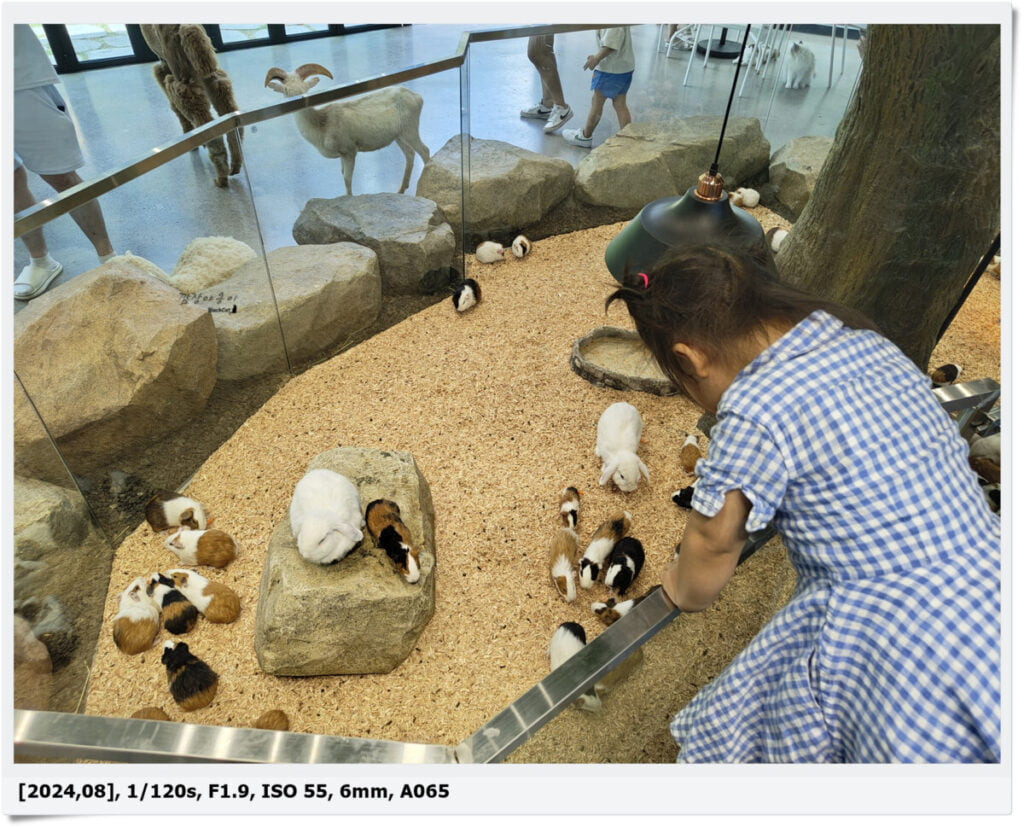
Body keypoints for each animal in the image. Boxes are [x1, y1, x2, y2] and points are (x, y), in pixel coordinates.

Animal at [140, 24, 243, 188]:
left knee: (207, 125)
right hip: (211, 77)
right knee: (230, 116)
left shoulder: (163, 65)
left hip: (183, 79)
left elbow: (175, 108)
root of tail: (188, 27)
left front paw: (189, 136)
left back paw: (221, 177)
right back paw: (235, 166)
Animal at [264, 64, 430, 197]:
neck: (321, 125)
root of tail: (417, 97)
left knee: (424, 151)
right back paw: (400, 190)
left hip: (410, 130)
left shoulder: (349, 151)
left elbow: (347, 179)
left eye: (305, 89)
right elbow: (343, 174)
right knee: (410, 154)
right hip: (399, 136)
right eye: (286, 90)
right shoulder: (342, 156)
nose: (297, 103)